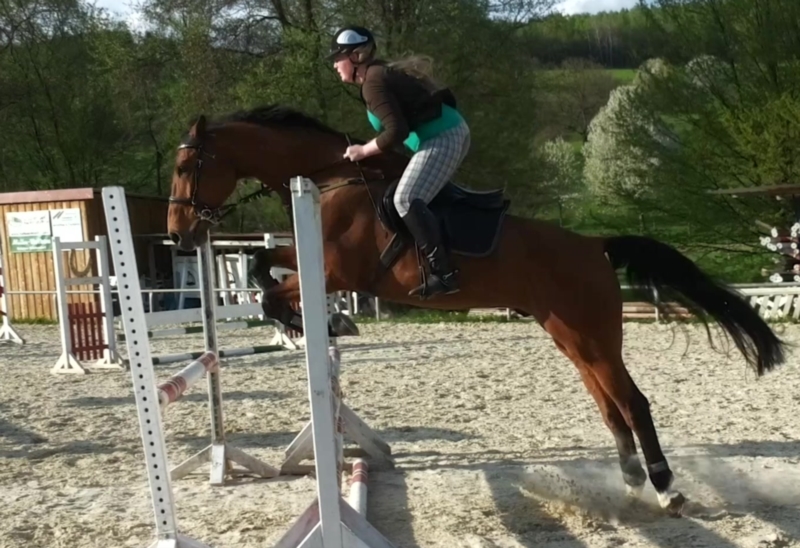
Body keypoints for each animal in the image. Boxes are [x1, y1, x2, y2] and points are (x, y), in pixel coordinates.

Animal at [166, 104, 785, 516]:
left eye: (187, 166)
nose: (178, 235)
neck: (328, 180)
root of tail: (594, 244)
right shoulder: (309, 258)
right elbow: (258, 266)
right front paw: (311, 323)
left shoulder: (338, 272)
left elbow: (272, 288)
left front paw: (317, 322)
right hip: (571, 336)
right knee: (611, 407)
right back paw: (632, 478)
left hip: (592, 335)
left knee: (633, 402)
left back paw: (664, 486)